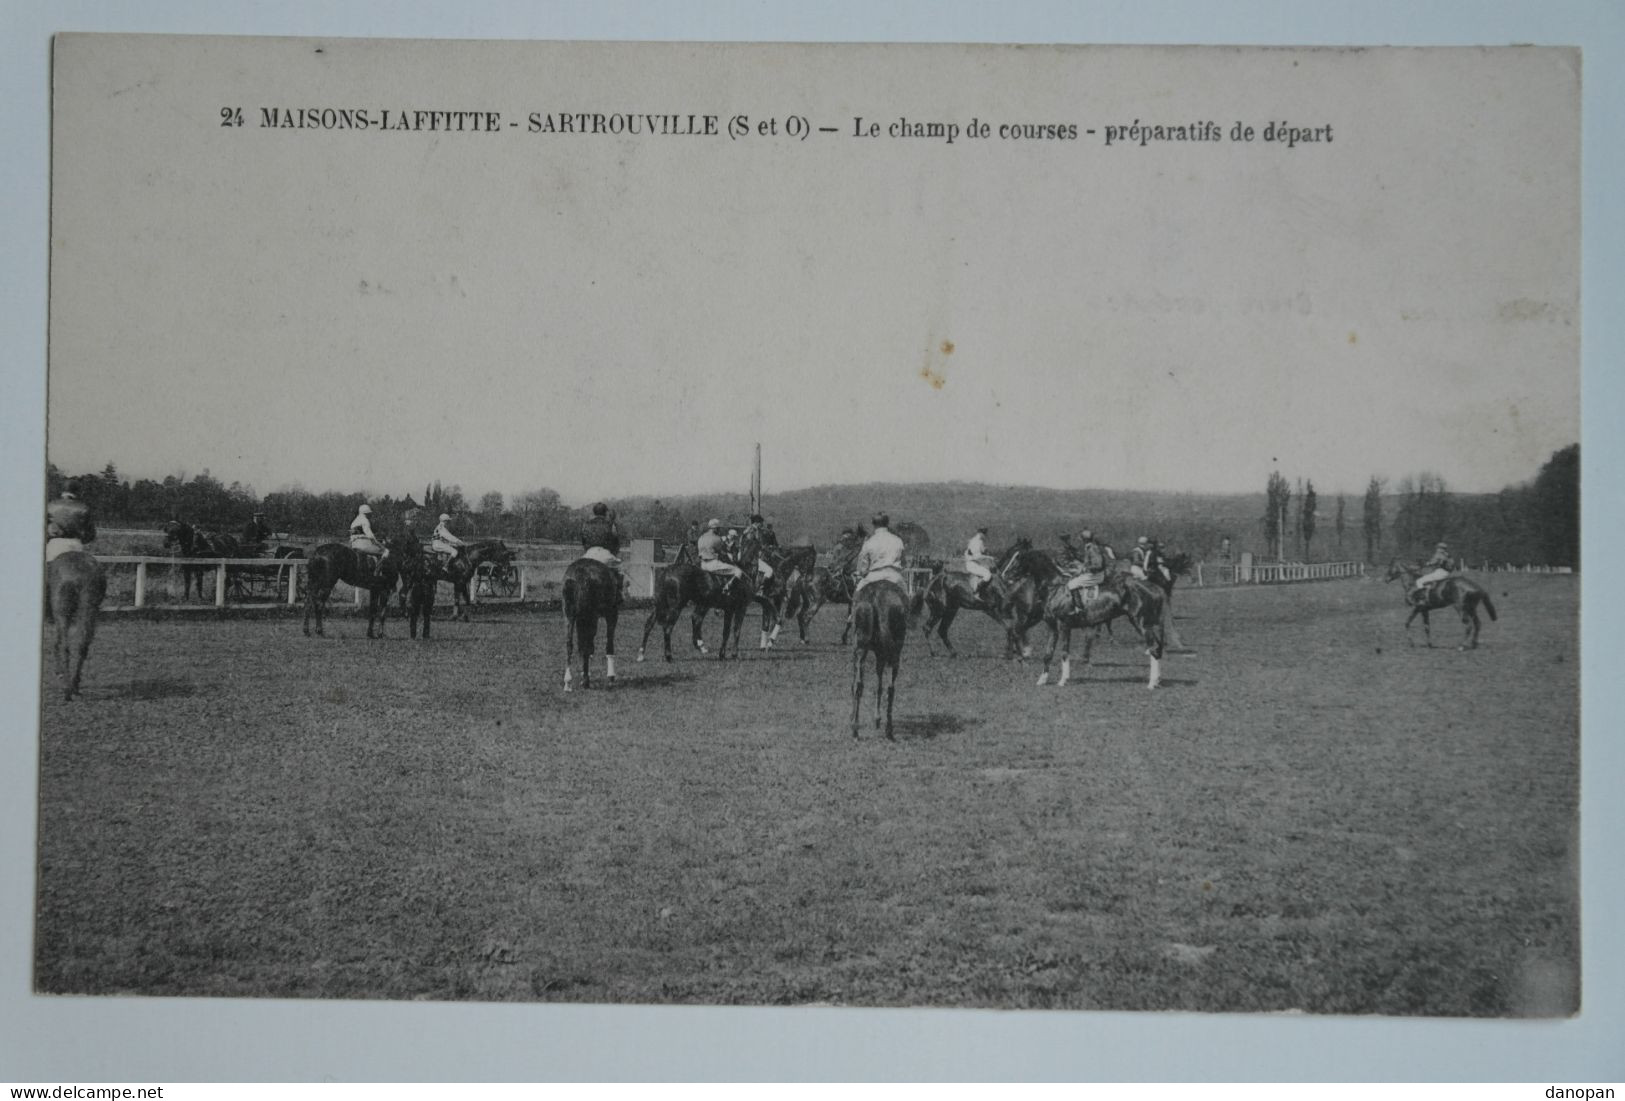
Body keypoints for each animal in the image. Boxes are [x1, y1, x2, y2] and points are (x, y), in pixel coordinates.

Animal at [45, 555, 106, 701]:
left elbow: (57, 643)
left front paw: (59, 671)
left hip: (62, 613)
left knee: (65, 646)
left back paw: (67, 690)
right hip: (89, 611)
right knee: (82, 646)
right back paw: (75, 686)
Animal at [851, 578, 916, 740]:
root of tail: (875, 595)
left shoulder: (878, 654)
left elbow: (877, 685)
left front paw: (876, 719)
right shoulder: (883, 654)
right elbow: (881, 686)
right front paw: (878, 719)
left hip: (861, 648)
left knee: (859, 685)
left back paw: (855, 728)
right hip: (894, 653)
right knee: (890, 688)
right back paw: (888, 729)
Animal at [1001, 545, 1170, 688]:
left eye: (1017, 559)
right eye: (1009, 556)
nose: (1004, 575)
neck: (1054, 587)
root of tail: (1155, 587)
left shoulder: (1064, 626)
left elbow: (1064, 653)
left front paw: (1063, 680)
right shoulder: (1052, 627)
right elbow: (1048, 654)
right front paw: (1042, 680)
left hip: (1140, 622)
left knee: (1154, 648)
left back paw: (1151, 683)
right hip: (1147, 623)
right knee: (1157, 647)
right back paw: (1157, 680)